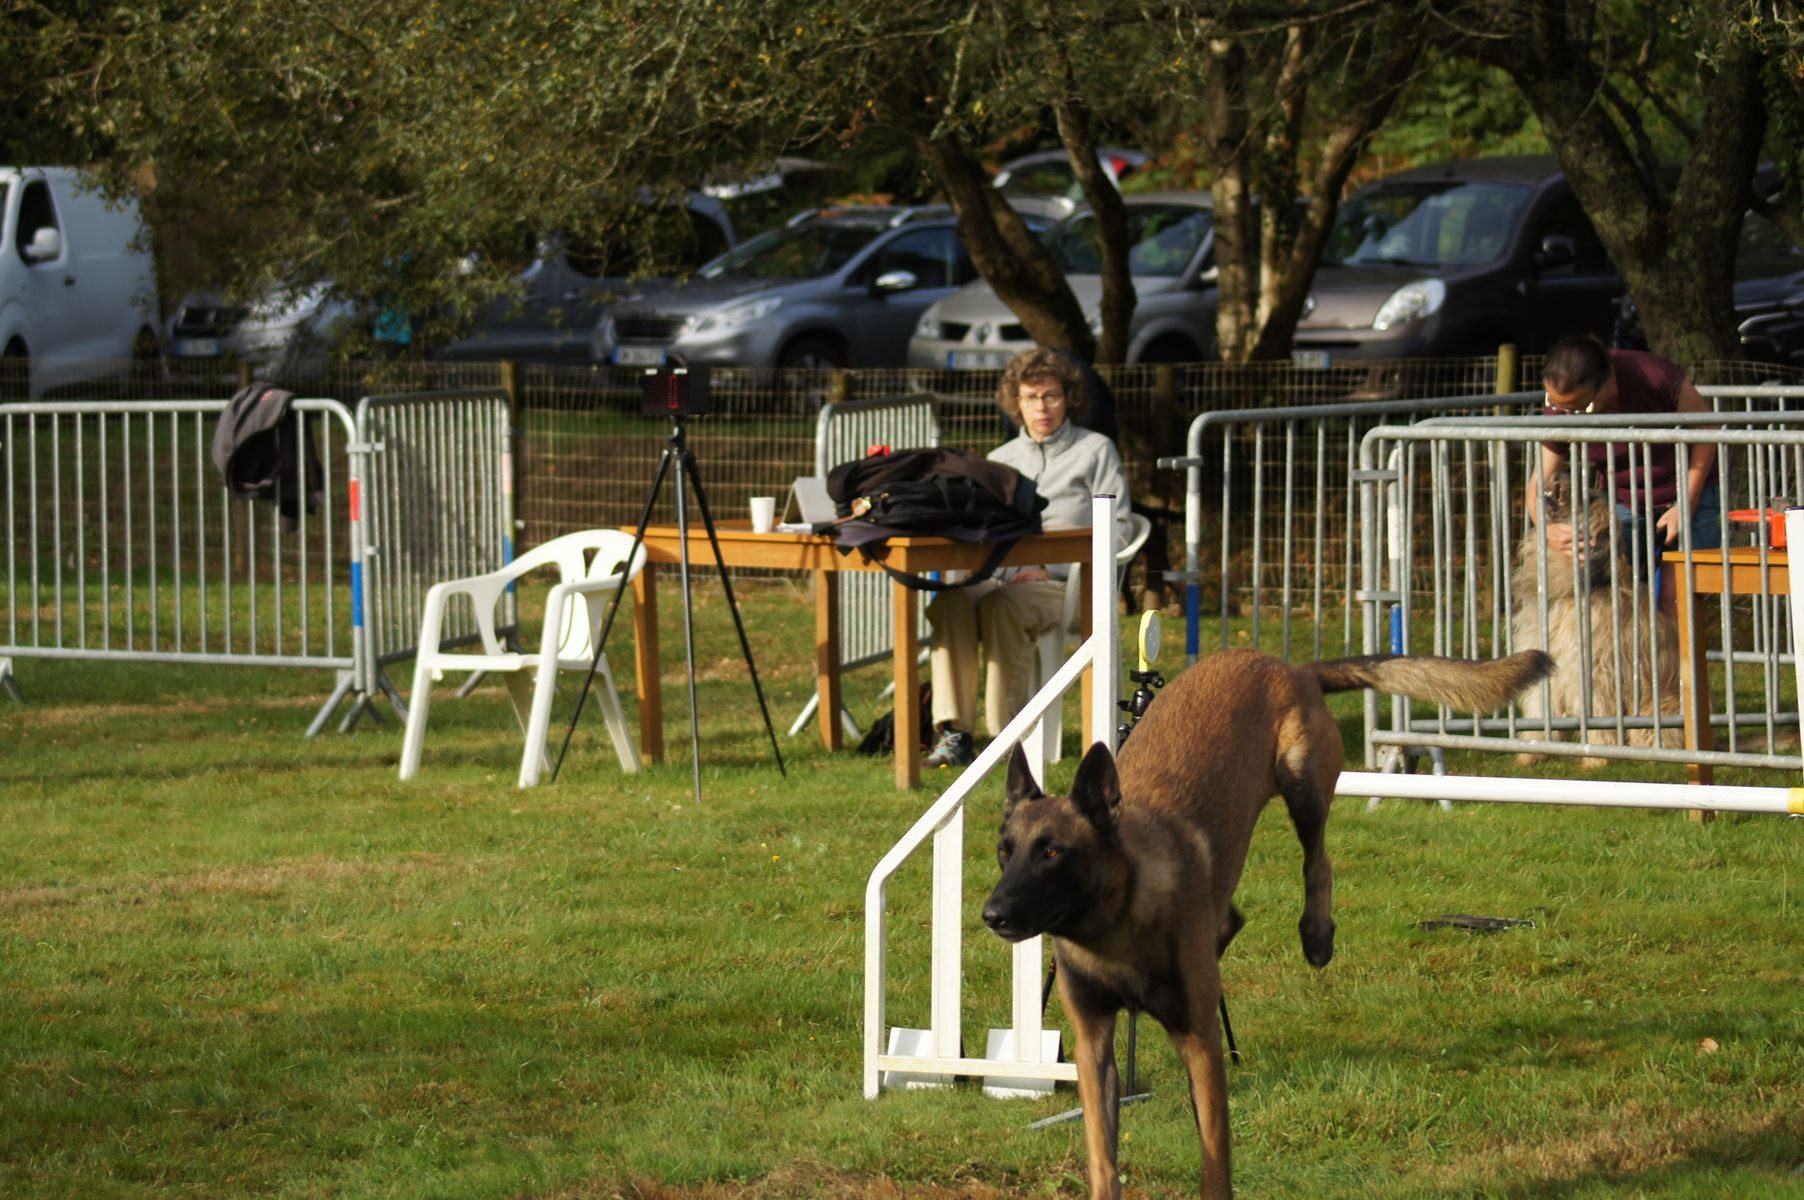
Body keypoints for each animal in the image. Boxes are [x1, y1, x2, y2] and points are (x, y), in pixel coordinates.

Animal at [988, 646, 1551, 1198]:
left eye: (1053, 853)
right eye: (1004, 852)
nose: (992, 915)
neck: (1117, 922)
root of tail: (1288, 665)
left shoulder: (1199, 1042)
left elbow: (1215, 1163)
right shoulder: (1094, 1046)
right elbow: (1104, 1161)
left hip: (1301, 779)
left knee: (1319, 861)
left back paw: (1317, 933)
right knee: (1234, 914)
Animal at [1500, 472, 1681, 761]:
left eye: (1590, 495)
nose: (1559, 473)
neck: (1570, 591)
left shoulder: (1596, 671)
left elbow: (1598, 712)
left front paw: (1596, 757)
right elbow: (1541, 708)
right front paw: (1533, 751)